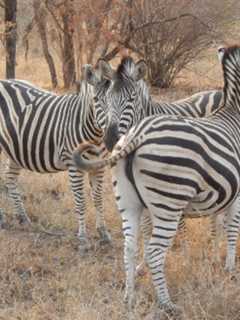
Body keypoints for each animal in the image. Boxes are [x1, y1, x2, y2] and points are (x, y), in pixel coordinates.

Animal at [0, 77, 110, 252]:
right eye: (96, 100)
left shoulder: (98, 166)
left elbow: (98, 199)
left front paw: (103, 234)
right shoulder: (74, 167)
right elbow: (81, 202)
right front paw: (83, 240)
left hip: (15, 148)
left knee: (10, 178)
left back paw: (23, 218)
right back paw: (3, 219)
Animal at [72, 45, 240, 316]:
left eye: (131, 100)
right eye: (104, 101)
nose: (109, 140)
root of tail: (136, 136)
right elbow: (231, 228)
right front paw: (228, 268)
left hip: (141, 200)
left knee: (131, 246)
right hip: (174, 198)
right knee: (157, 247)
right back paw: (166, 302)